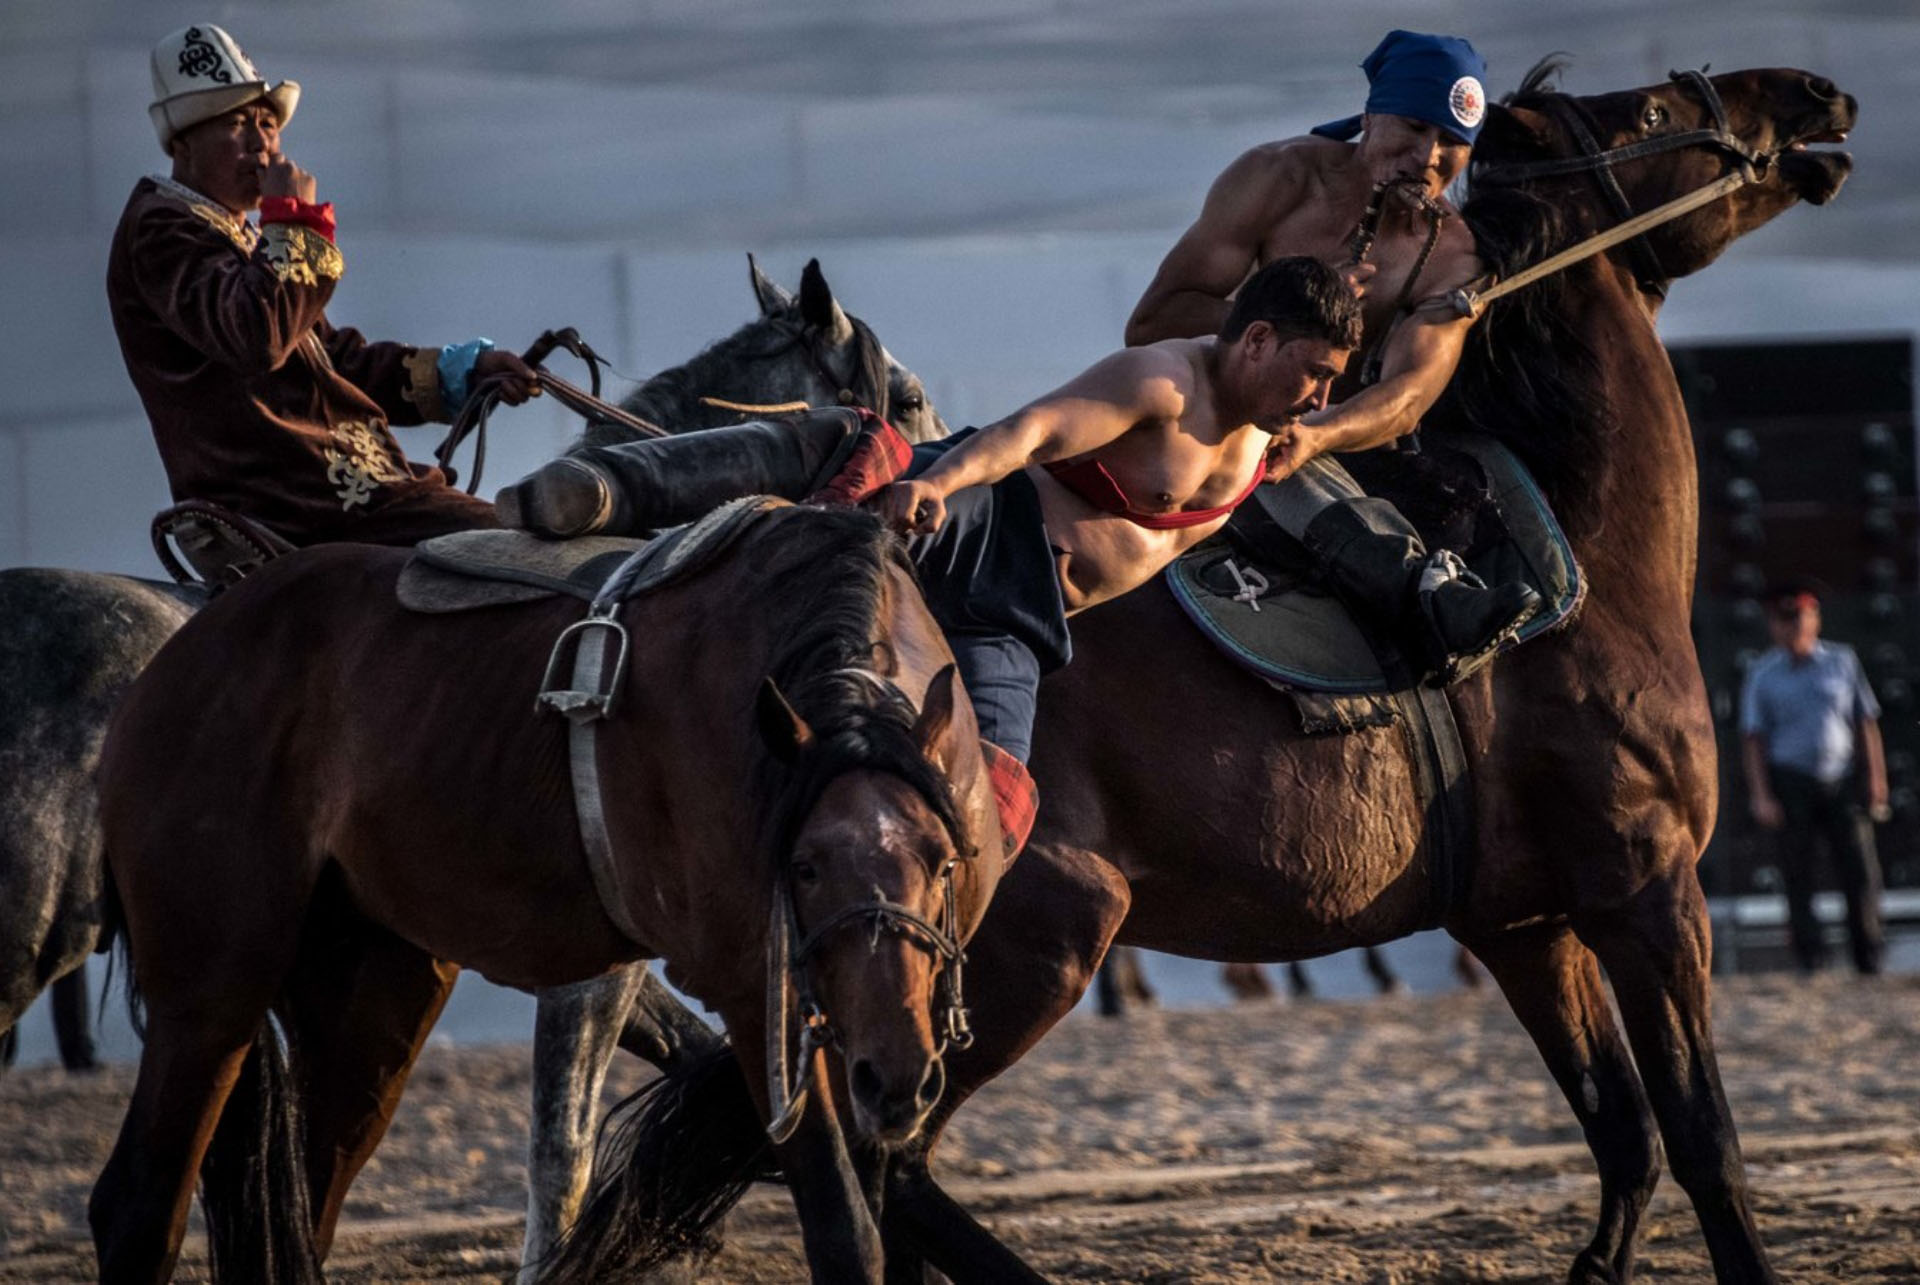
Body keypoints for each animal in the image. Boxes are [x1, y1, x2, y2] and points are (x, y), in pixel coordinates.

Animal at [583, 62, 1858, 1283]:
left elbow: (1622, 1133)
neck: (1571, 563)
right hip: (1026, 944)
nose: (1815, 96)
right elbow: (1700, 1137)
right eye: (1646, 111)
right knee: (884, 1154)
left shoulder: (1527, 926)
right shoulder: (1649, 890)